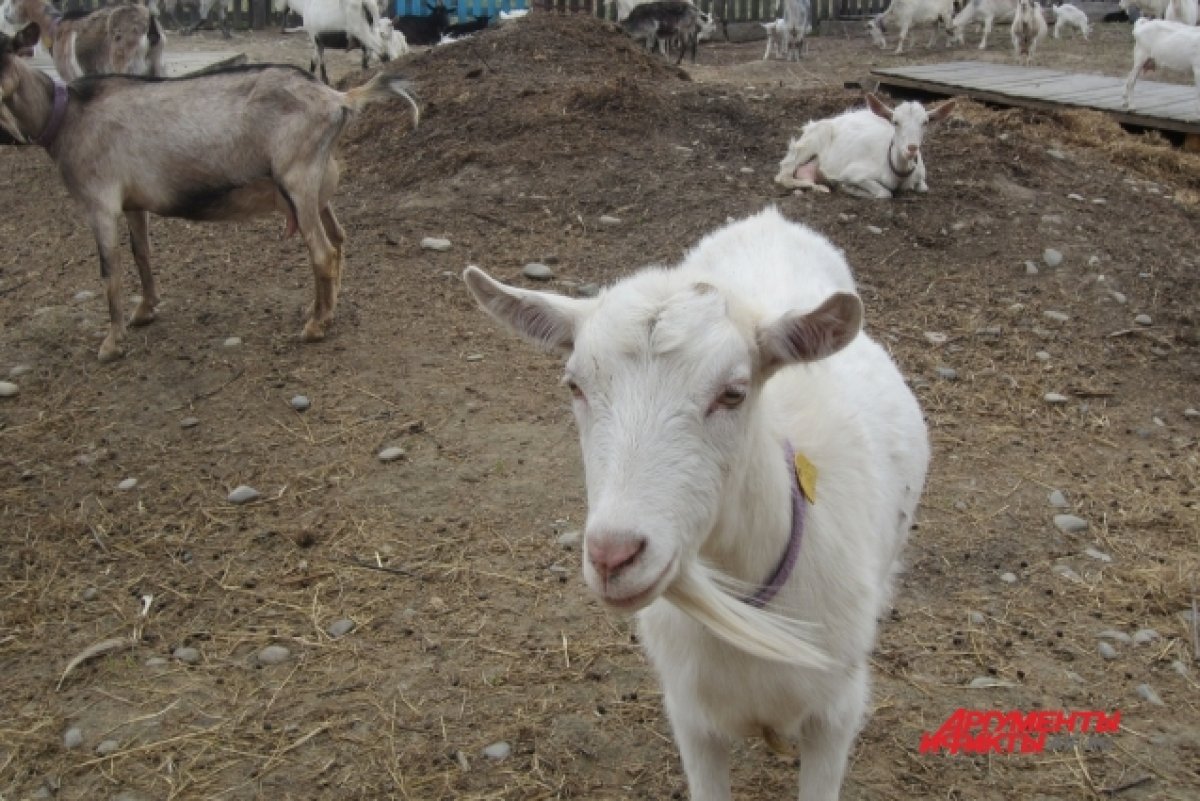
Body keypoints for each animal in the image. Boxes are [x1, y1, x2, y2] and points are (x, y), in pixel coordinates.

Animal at [0, 21, 420, 362]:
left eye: (4, 57)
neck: (66, 116)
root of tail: (338, 99)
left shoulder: (99, 202)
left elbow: (109, 270)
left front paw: (111, 343)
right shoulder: (133, 201)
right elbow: (141, 254)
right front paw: (145, 311)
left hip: (297, 180)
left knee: (323, 252)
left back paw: (315, 327)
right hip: (317, 186)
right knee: (339, 238)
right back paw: (325, 311)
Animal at [4, 0, 166, 80]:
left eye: (12, 1)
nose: (5, 16)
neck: (53, 26)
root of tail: (149, 22)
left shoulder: (70, 75)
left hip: (126, 63)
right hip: (156, 65)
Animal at [463, 205, 931, 801]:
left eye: (733, 392)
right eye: (574, 386)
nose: (613, 556)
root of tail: (770, 220)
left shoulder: (835, 713)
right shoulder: (692, 718)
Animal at [777, 91, 955, 199]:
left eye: (925, 122)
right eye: (895, 122)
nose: (911, 148)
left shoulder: (921, 175)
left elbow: (923, 188)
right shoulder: (853, 172)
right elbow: (884, 193)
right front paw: (849, 188)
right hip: (810, 141)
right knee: (784, 174)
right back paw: (821, 187)